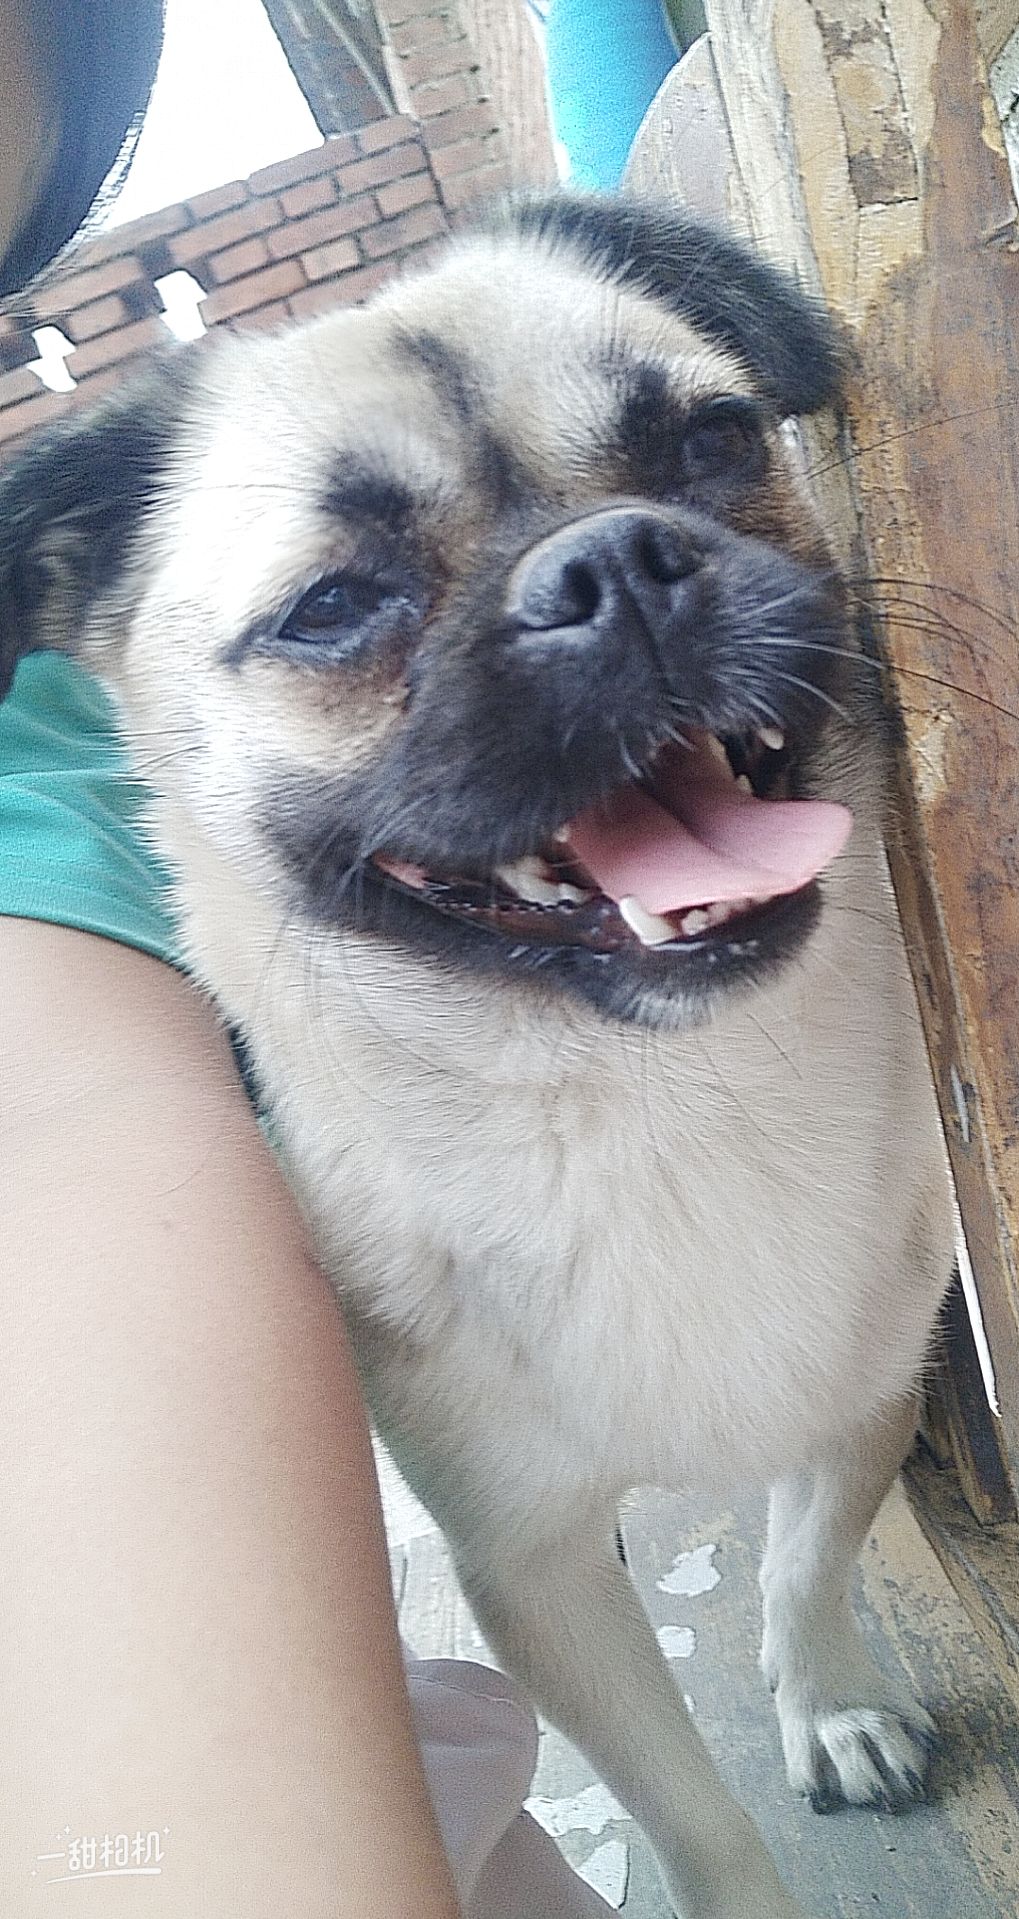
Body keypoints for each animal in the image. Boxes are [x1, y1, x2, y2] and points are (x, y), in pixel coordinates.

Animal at [0, 195, 955, 1918]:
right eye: (330, 608)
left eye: (711, 439)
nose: (612, 563)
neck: (649, 1098)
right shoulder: (532, 1571)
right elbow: (690, 1811)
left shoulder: (866, 1390)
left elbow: (804, 1555)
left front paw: (832, 1699)